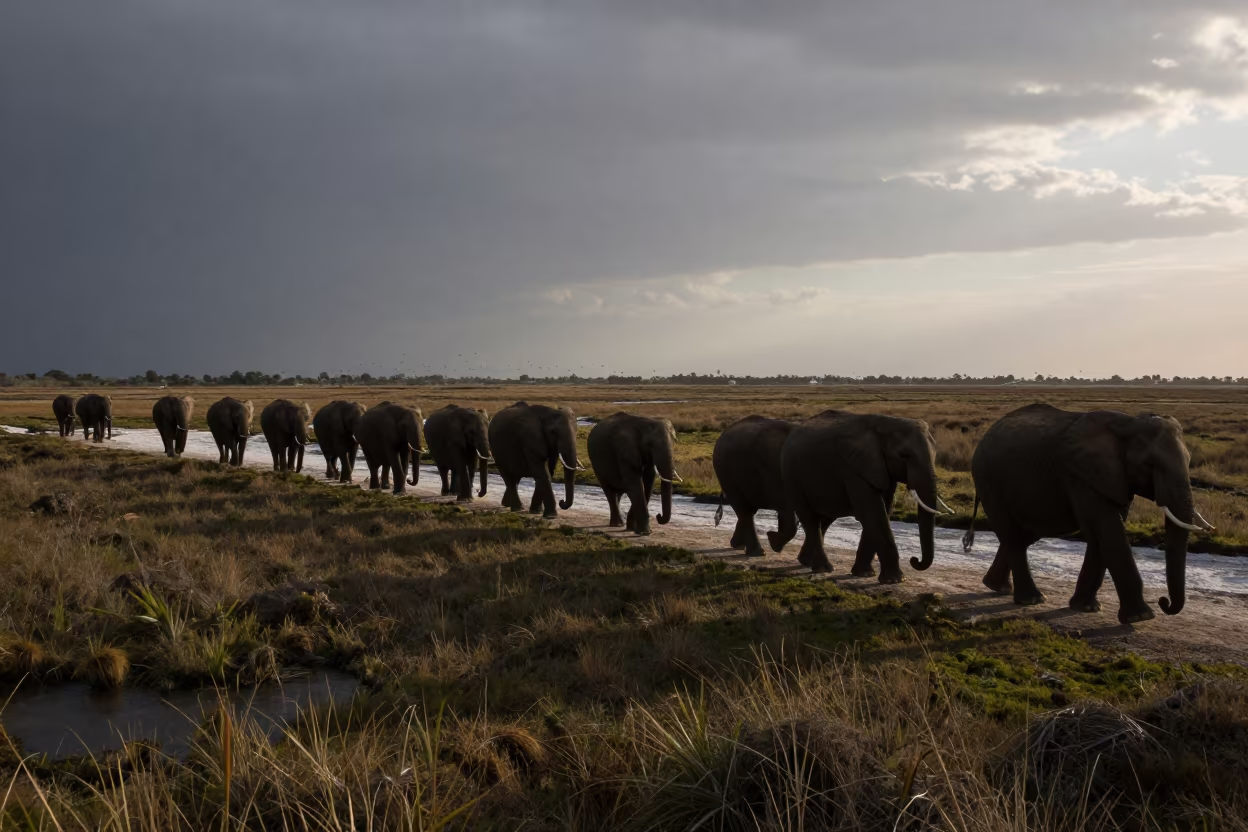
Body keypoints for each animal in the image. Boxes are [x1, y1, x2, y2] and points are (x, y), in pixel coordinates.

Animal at [712, 415, 799, 557]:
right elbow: (786, 507)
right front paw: (773, 540)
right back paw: (757, 552)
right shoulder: (774, 471)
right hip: (726, 474)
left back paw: (739, 545)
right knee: (745, 510)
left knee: (745, 511)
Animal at [781, 411, 948, 581]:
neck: (886, 425)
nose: (914, 560)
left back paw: (806, 562)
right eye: (904, 455)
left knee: (825, 519)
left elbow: (882, 511)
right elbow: (873, 512)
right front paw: (894, 580)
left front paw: (864, 574)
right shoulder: (853, 468)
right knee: (810, 519)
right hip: (792, 474)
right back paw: (823, 568)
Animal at [963, 403, 1213, 624]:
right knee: (1014, 536)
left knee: (1022, 536)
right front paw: (1141, 617)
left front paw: (1086, 608)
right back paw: (1030, 599)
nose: (1164, 602)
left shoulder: (1113, 478)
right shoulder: (1082, 476)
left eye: (1190, 462)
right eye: (1150, 464)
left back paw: (998, 587)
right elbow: (1109, 531)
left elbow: (1101, 534)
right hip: (989, 480)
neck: (1129, 425)